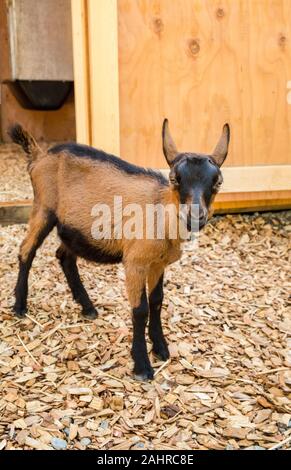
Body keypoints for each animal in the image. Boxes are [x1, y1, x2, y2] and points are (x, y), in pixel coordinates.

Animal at [8, 119, 230, 380]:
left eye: (218, 182)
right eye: (175, 178)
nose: (196, 216)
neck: (160, 212)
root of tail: (39, 156)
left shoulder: (158, 263)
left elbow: (157, 301)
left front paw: (161, 348)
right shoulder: (135, 262)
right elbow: (140, 309)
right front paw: (142, 365)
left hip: (73, 227)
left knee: (64, 256)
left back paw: (88, 307)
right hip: (43, 207)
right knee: (26, 250)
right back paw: (20, 306)